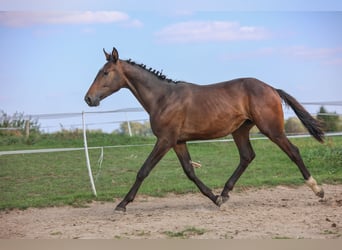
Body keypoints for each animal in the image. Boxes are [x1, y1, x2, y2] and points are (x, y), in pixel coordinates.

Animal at [84, 47, 324, 213]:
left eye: (106, 73)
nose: (89, 99)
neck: (163, 98)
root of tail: (272, 88)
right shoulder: (178, 142)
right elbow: (190, 172)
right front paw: (215, 198)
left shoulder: (165, 140)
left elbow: (143, 170)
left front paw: (122, 204)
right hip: (240, 131)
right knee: (247, 156)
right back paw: (225, 194)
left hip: (271, 129)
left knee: (293, 151)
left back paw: (318, 190)